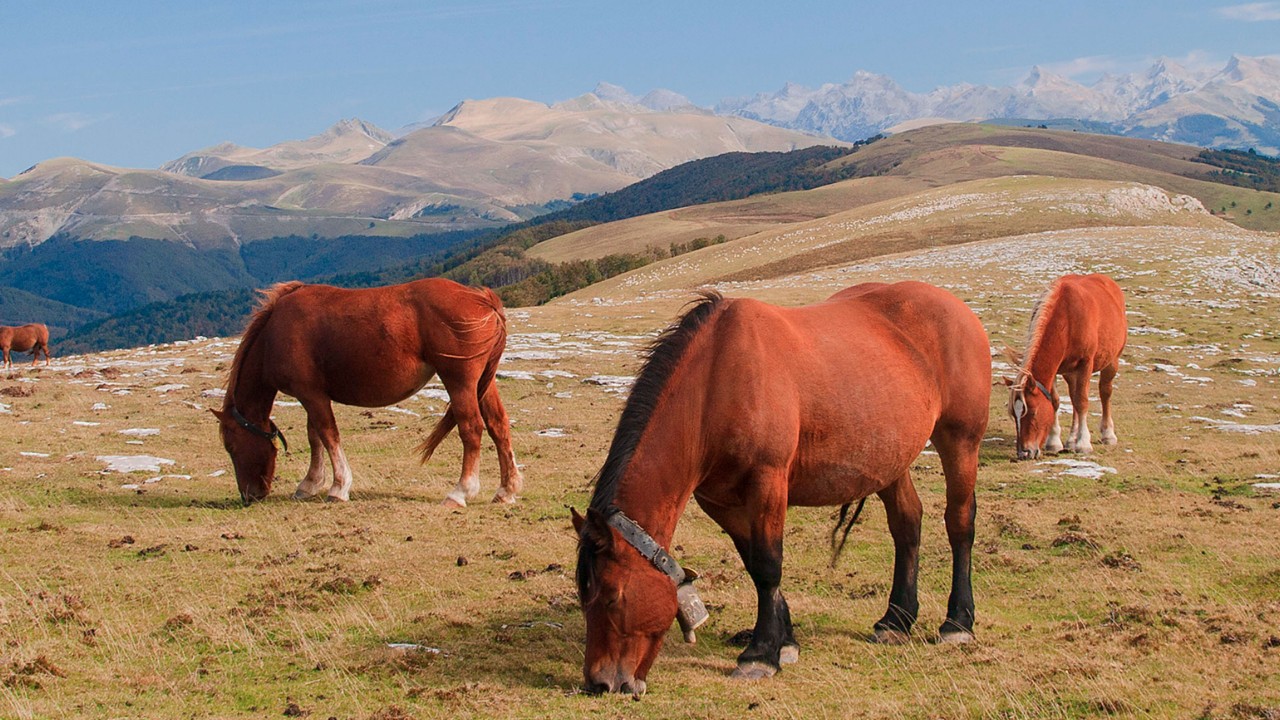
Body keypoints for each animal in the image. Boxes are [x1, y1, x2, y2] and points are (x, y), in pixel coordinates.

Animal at [212, 275, 522, 504]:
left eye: (231, 446)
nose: (249, 495)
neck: (274, 333)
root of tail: (483, 299)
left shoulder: (311, 395)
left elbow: (328, 434)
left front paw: (338, 487)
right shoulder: (312, 395)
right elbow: (315, 438)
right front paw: (310, 484)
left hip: (460, 381)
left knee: (471, 428)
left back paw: (461, 492)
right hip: (482, 383)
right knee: (498, 425)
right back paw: (506, 490)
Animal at [576, 281, 993, 696]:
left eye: (612, 596)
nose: (601, 682)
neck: (717, 382)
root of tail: (956, 307)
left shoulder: (768, 482)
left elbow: (767, 565)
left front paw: (760, 654)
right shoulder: (721, 501)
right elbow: (754, 564)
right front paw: (785, 641)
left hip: (961, 442)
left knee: (960, 524)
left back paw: (957, 622)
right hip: (891, 459)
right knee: (907, 525)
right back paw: (896, 620)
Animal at [1003, 271, 1126, 456]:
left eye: (1033, 412)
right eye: (1013, 414)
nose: (1024, 453)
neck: (1067, 319)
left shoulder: (1085, 364)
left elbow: (1082, 401)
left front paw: (1083, 443)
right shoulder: (1056, 369)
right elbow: (1056, 401)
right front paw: (1054, 442)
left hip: (1111, 361)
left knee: (1105, 393)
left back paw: (1107, 434)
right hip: (1070, 372)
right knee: (1073, 398)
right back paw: (1071, 439)